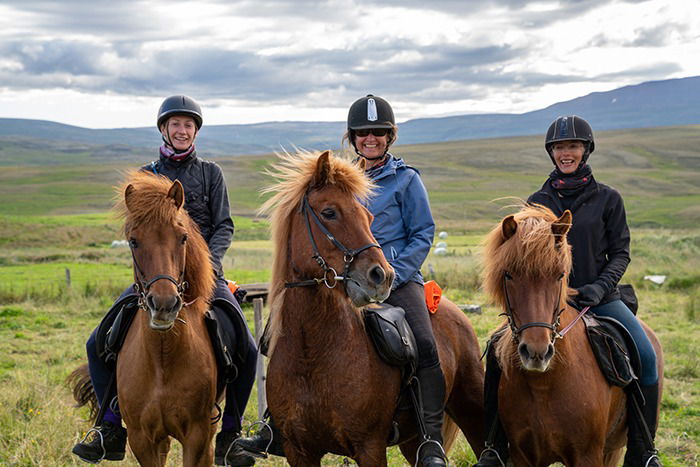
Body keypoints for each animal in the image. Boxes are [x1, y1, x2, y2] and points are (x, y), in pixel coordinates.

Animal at [258, 149, 485, 466]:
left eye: (368, 216)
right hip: (412, 440)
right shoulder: (298, 450)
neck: (310, 354)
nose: (383, 276)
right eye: (329, 212)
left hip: (472, 410)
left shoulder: (370, 447)